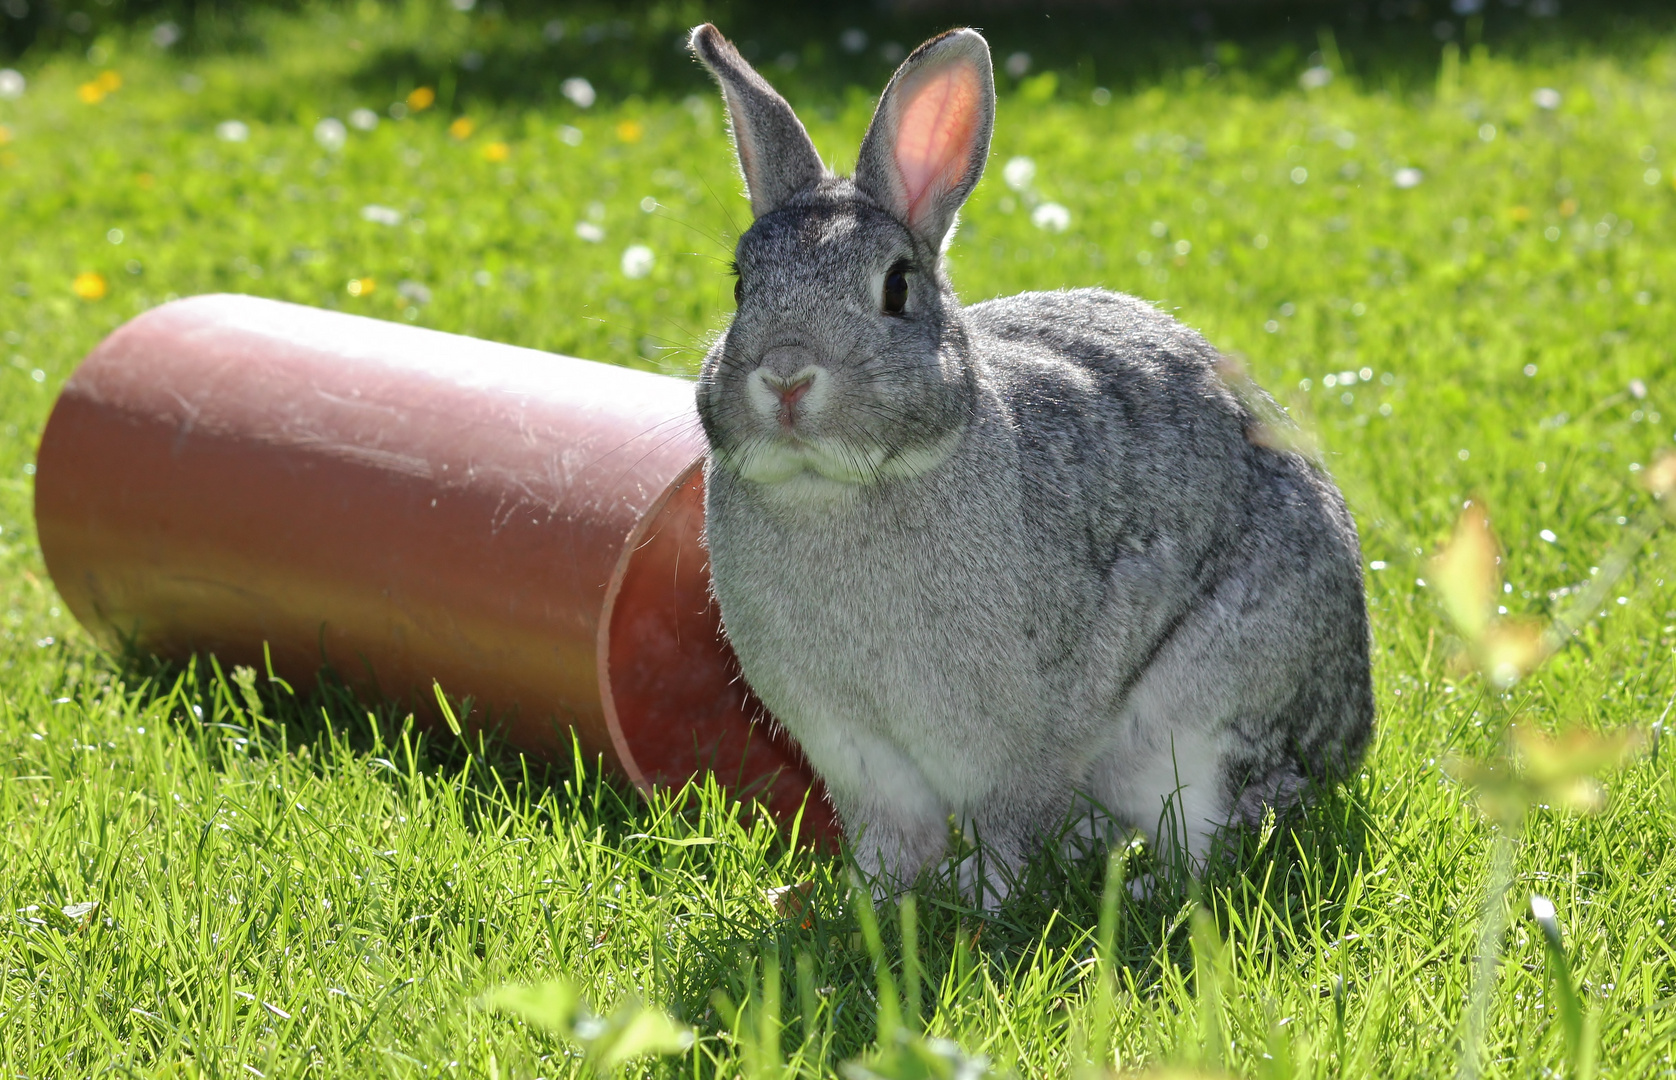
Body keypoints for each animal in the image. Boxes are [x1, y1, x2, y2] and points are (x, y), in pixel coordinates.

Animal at [683, 21, 1374, 905]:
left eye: (897, 287)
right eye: (742, 284)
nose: (785, 376)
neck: (837, 486)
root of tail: (1346, 745)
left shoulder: (1016, 745)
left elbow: (1007, 826)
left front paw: (980, 896)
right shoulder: (858, 753)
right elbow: (891, 840)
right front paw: (860, 900)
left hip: (1199, 730)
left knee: (1209, 832)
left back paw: (1144, 892)